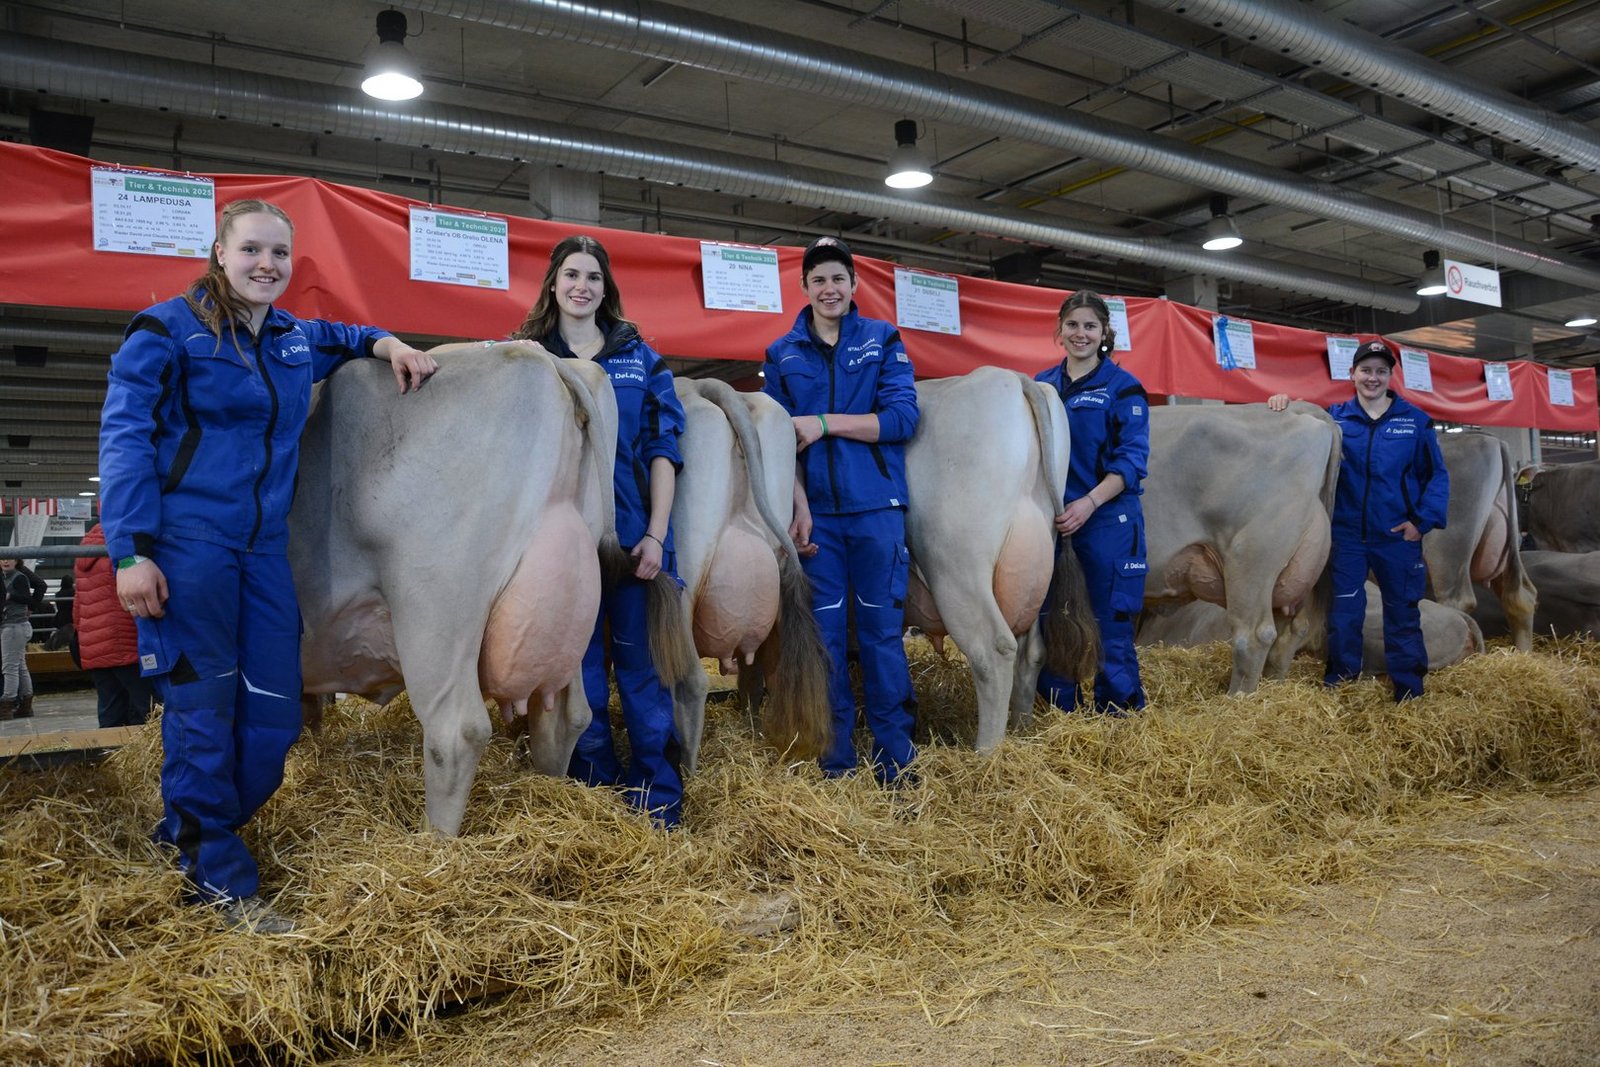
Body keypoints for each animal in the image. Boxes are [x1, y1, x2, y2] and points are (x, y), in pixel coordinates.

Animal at [290, 344, 624, 835]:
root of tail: (540, 357)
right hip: (571, 605)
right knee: (567, 715)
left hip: (434, 611)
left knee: (457, 732)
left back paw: (434, 840)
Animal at [903, 366, 1098, 750]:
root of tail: (1009, 376)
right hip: (1034, 567)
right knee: (1031, 650)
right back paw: (1023, 733)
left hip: (956, 567)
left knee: (993, 651)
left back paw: (986, 752)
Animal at [1140, 402, 1340, 694]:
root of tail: (1303, 410)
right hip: (1296, 572)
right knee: (1289, 633)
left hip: (1250, 558)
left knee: (1253, 635)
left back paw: (1237, 697)